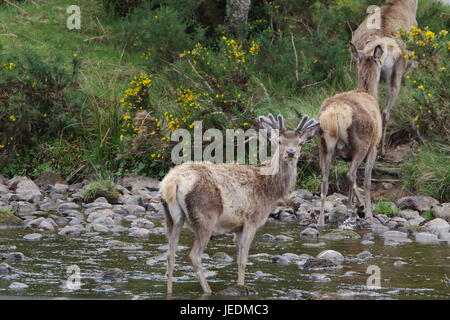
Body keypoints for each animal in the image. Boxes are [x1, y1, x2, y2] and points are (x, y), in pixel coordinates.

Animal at [160, 112, 318, 296]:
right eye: (279, 141)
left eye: (300, 143)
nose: (291, 152)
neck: (269, 190)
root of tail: (173, 182)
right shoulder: (252, 219)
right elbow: (243, 259)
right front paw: (242, 287)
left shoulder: (237, 227)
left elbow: (237, 259)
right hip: (205, 215)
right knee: (194, 255)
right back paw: (208, 291)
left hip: (171, 217)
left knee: (170, 254)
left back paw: (170, 291)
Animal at [316, 45, 384, 226]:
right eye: (381, 62)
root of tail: (336, 113)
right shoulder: (374, 146)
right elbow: (367, 181)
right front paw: (366, 210)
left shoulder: (346, 155)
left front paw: (353, 206)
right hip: (362, 143)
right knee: (352, 175)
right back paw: (361, 211)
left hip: (324, 146)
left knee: (325, 179)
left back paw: (321, 221)